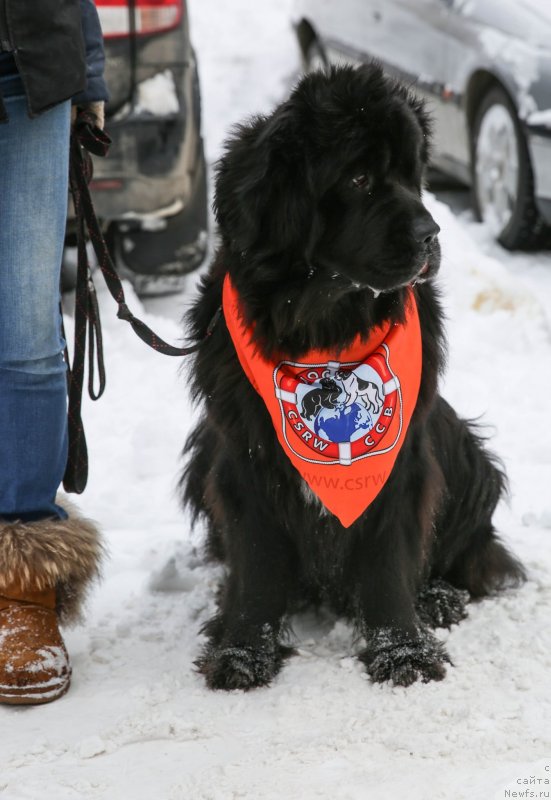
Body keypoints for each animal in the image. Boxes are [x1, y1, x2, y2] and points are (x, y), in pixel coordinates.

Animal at [182, 62, 528, 692]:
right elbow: (254, 564)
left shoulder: (402, 462)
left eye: (413, 176)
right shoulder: (242, 457)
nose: (431, 234)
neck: (322, 327)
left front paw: (404, 652)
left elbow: (389, 560)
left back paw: (438, 597)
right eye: (360, 178)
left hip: (465, 449)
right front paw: (241, 651)